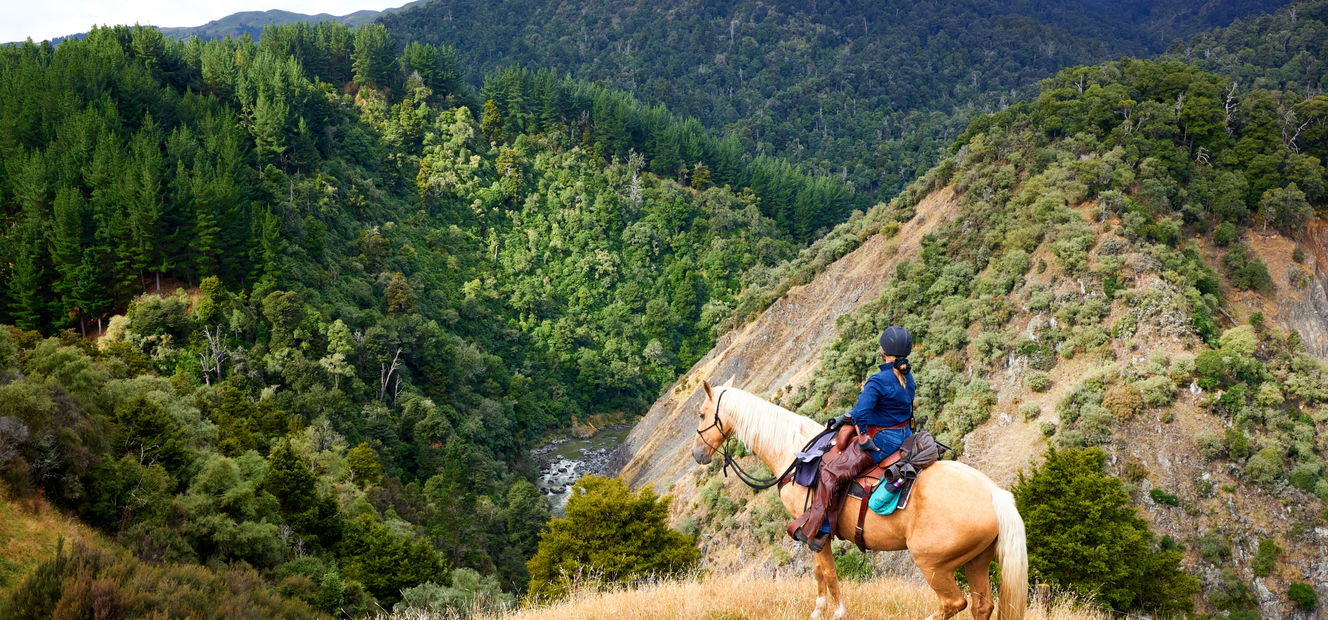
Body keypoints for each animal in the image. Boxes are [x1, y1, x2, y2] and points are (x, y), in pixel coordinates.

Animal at [690, 380, 1027, 620]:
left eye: (703, 414)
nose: (697, 454)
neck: (796, 453)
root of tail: (994, 494)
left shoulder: (815, 530)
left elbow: (826, 571)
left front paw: (834, 612)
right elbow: (820, 572)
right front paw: (818, 610)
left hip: (933, 565)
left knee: (953, 603)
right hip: (976, 561)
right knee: (982, 606)